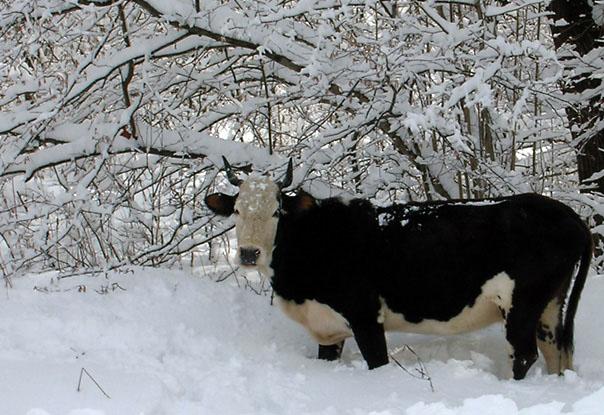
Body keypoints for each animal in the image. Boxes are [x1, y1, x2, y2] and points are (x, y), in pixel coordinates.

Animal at [205, 158, 592, 380]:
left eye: (276, 211)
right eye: (236, 210)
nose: (249, 253)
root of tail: (568, 215)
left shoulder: (365, 315)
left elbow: (378, 363)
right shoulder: (327, 329)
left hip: (521, 304)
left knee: (524, 355)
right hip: (550, 306)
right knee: (556, 351)